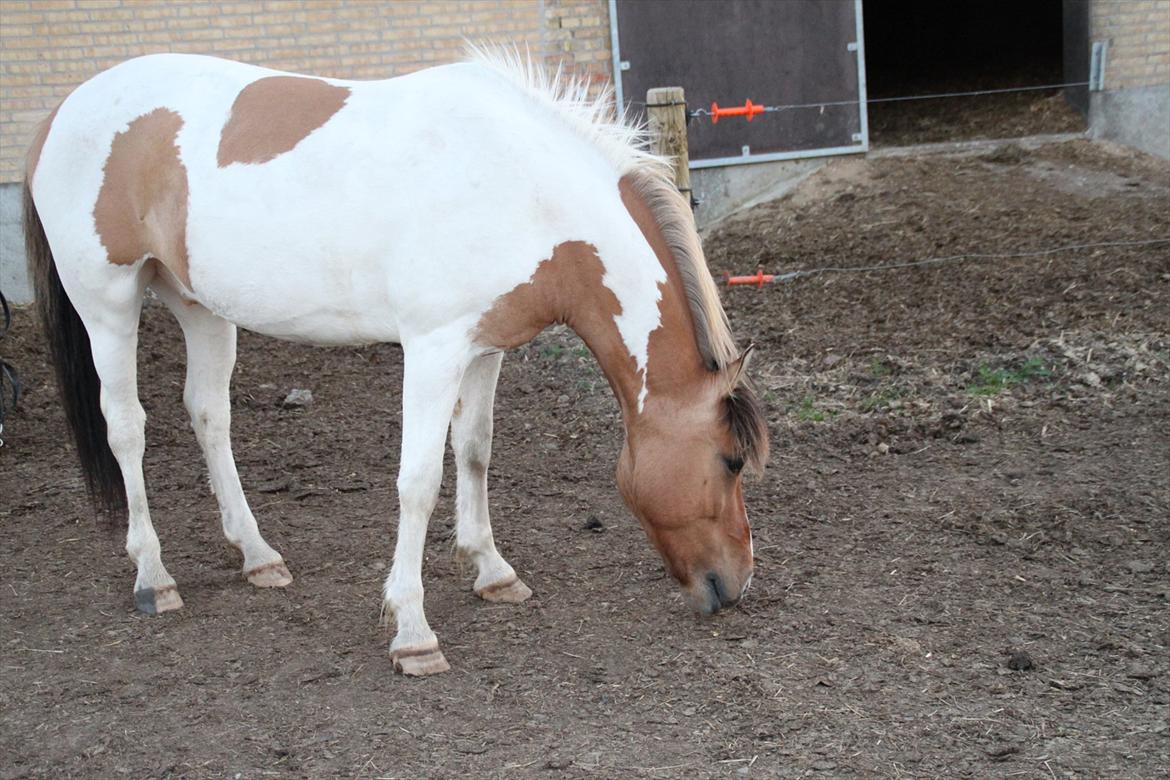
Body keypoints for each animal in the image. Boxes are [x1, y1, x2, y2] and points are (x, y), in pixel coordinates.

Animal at [25, 48, 767, 673]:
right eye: (731, 461)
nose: (735, 584)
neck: (517, 185)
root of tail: (61, 114)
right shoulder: (433, 350)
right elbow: (419, 482)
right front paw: (413, 632)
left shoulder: (484, 349)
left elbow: (475, 453)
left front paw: (492, 571)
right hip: (109, 305)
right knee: (126, 427)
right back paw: (154, 577)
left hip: (200, 306)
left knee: (209, 415)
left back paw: (258, 556)